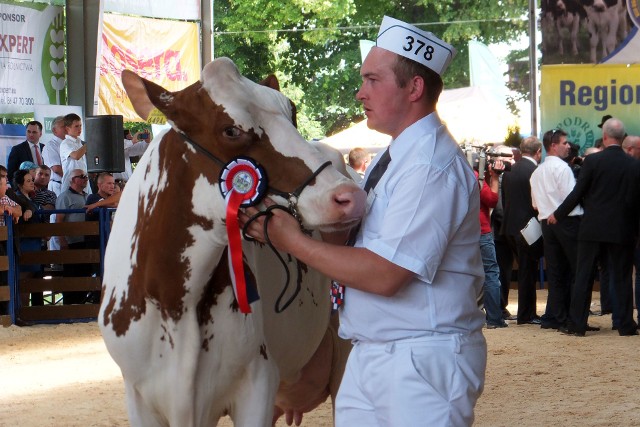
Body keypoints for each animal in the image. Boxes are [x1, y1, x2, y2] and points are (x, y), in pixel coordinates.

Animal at [97, 57, 362, 427]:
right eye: (231, 130)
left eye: (292, 112)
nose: (348, 196)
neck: (174, 298)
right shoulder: (138, 394)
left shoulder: (257, 383)